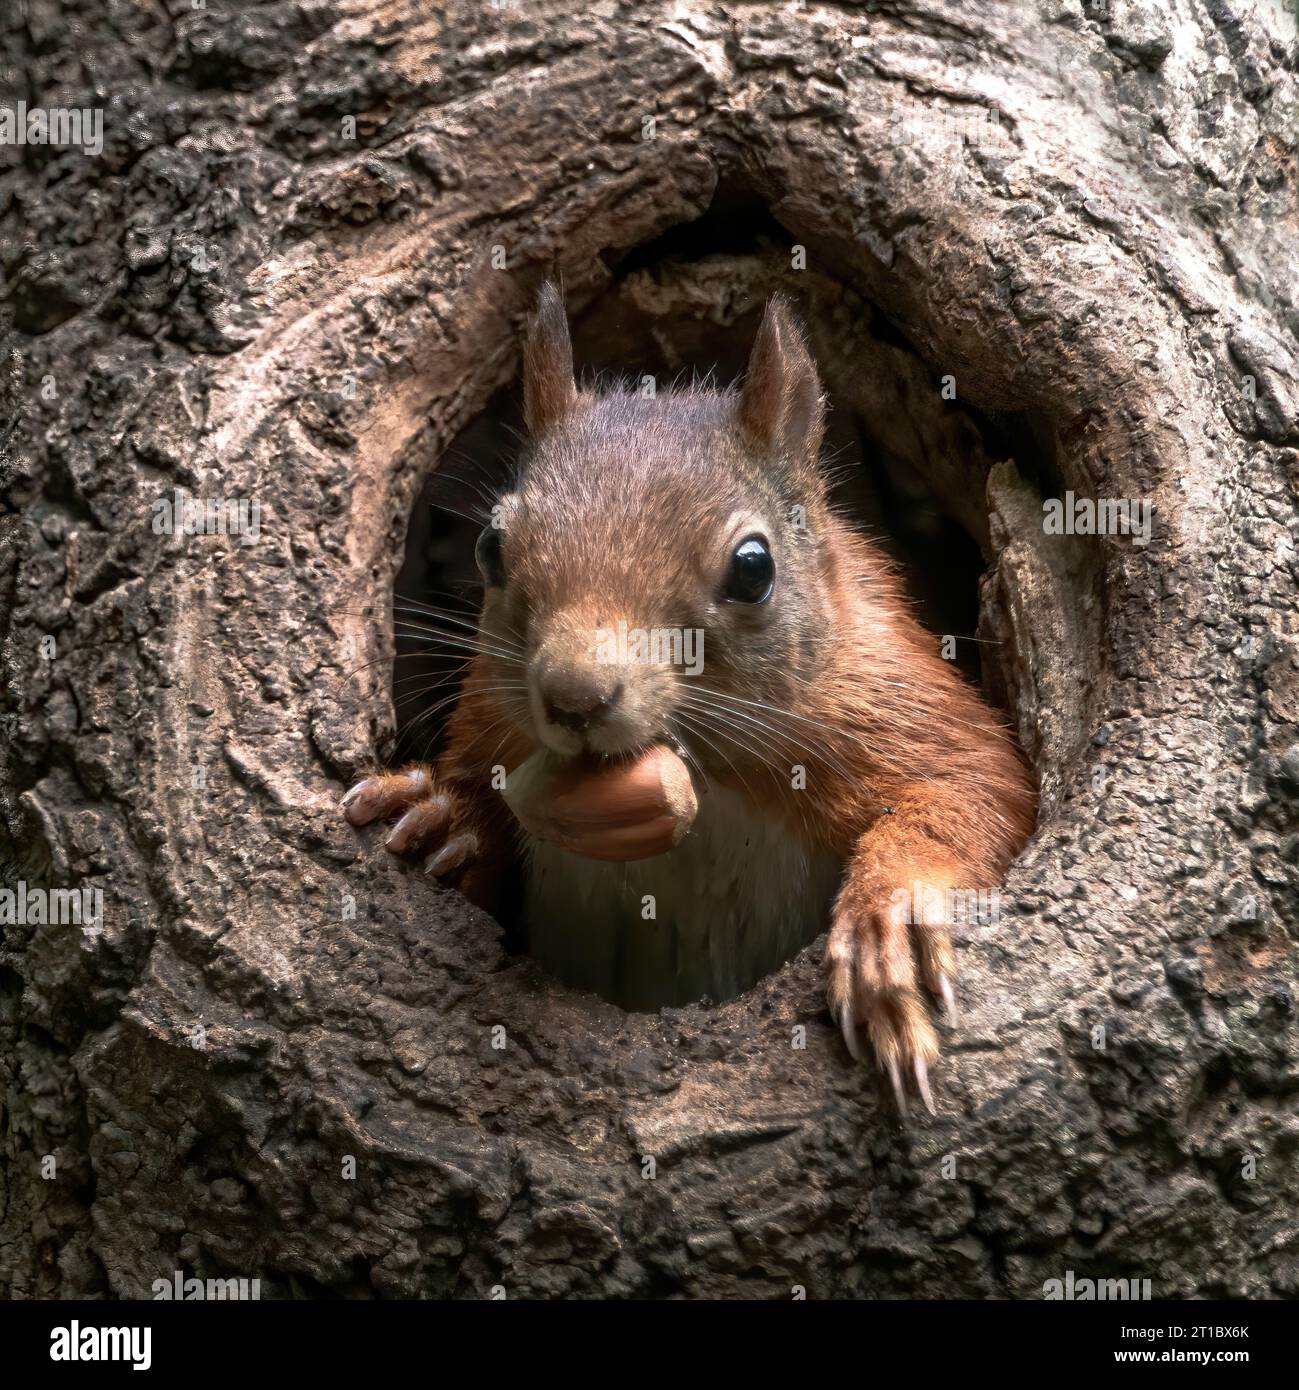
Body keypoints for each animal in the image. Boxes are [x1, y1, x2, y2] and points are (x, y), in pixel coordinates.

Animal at [343, 282, 1033, 1106]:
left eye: (753, 568)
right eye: (490, 547)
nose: (574, 697)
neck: (709, 770)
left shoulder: (894, 698)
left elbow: (977, 789)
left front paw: (887, 922)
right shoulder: (491, 716)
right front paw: (447, 815)